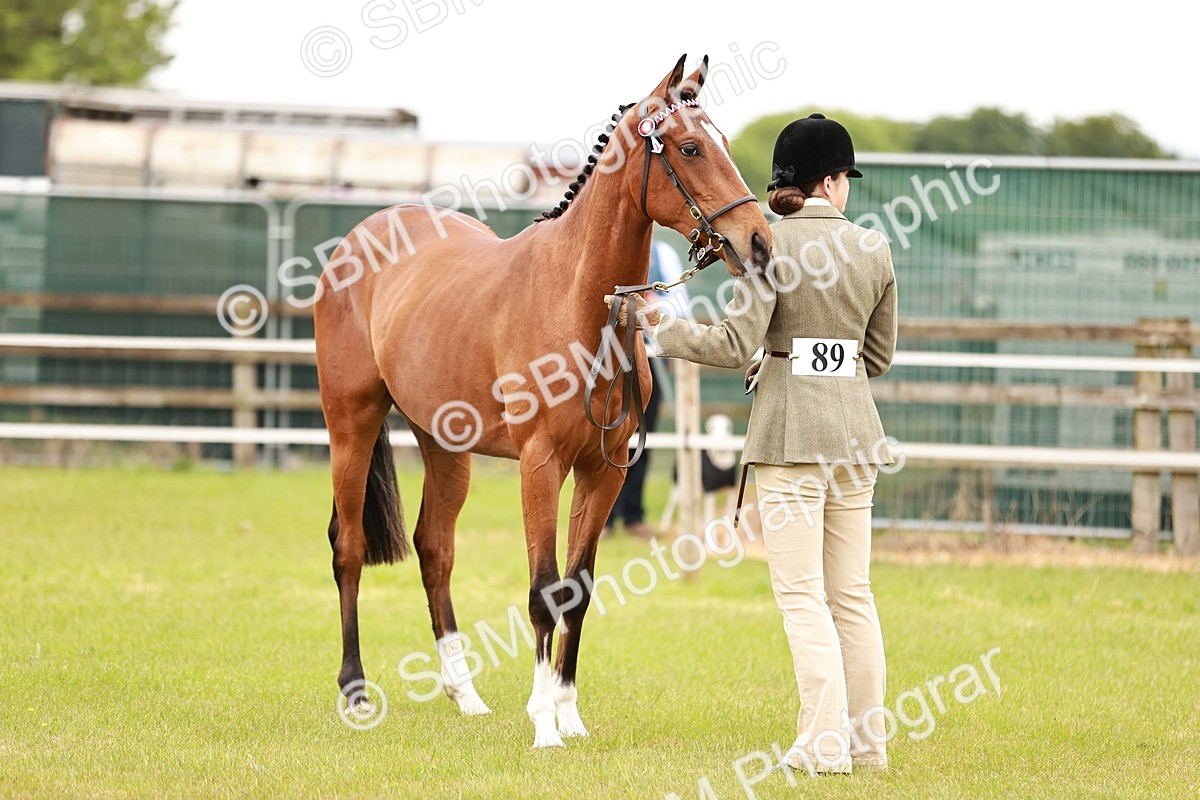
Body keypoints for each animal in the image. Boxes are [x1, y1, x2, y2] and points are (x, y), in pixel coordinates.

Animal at [313, 54, 771, 748]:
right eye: (690, 148)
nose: (759, 242)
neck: (579, 302)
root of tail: (359, 239)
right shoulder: (540, 465)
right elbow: (542, 589)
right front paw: (542, 725)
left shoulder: (603, 472)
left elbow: (577, 589)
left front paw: (568, 714)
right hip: (352, 423)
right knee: (349, 547)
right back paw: (355, 690)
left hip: (443, 445)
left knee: (435, 549)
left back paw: (465, 693)